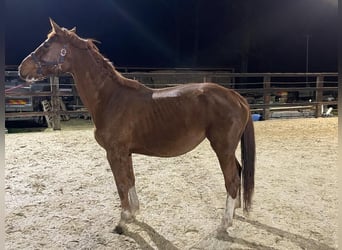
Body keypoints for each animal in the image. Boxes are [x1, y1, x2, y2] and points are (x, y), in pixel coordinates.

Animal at [18, 18, 254, 233]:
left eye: (46, 44)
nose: (22, 68)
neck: (110, 98)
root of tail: (235, 96)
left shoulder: (114, 153)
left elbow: (121, 185)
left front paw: (122, 221)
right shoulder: (126, 153)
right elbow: (130, 179)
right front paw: (134, 213)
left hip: (222, 148)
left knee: (232, 180)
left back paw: (224, 224)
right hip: (228, 150)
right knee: (239, 171)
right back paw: (234, 211)